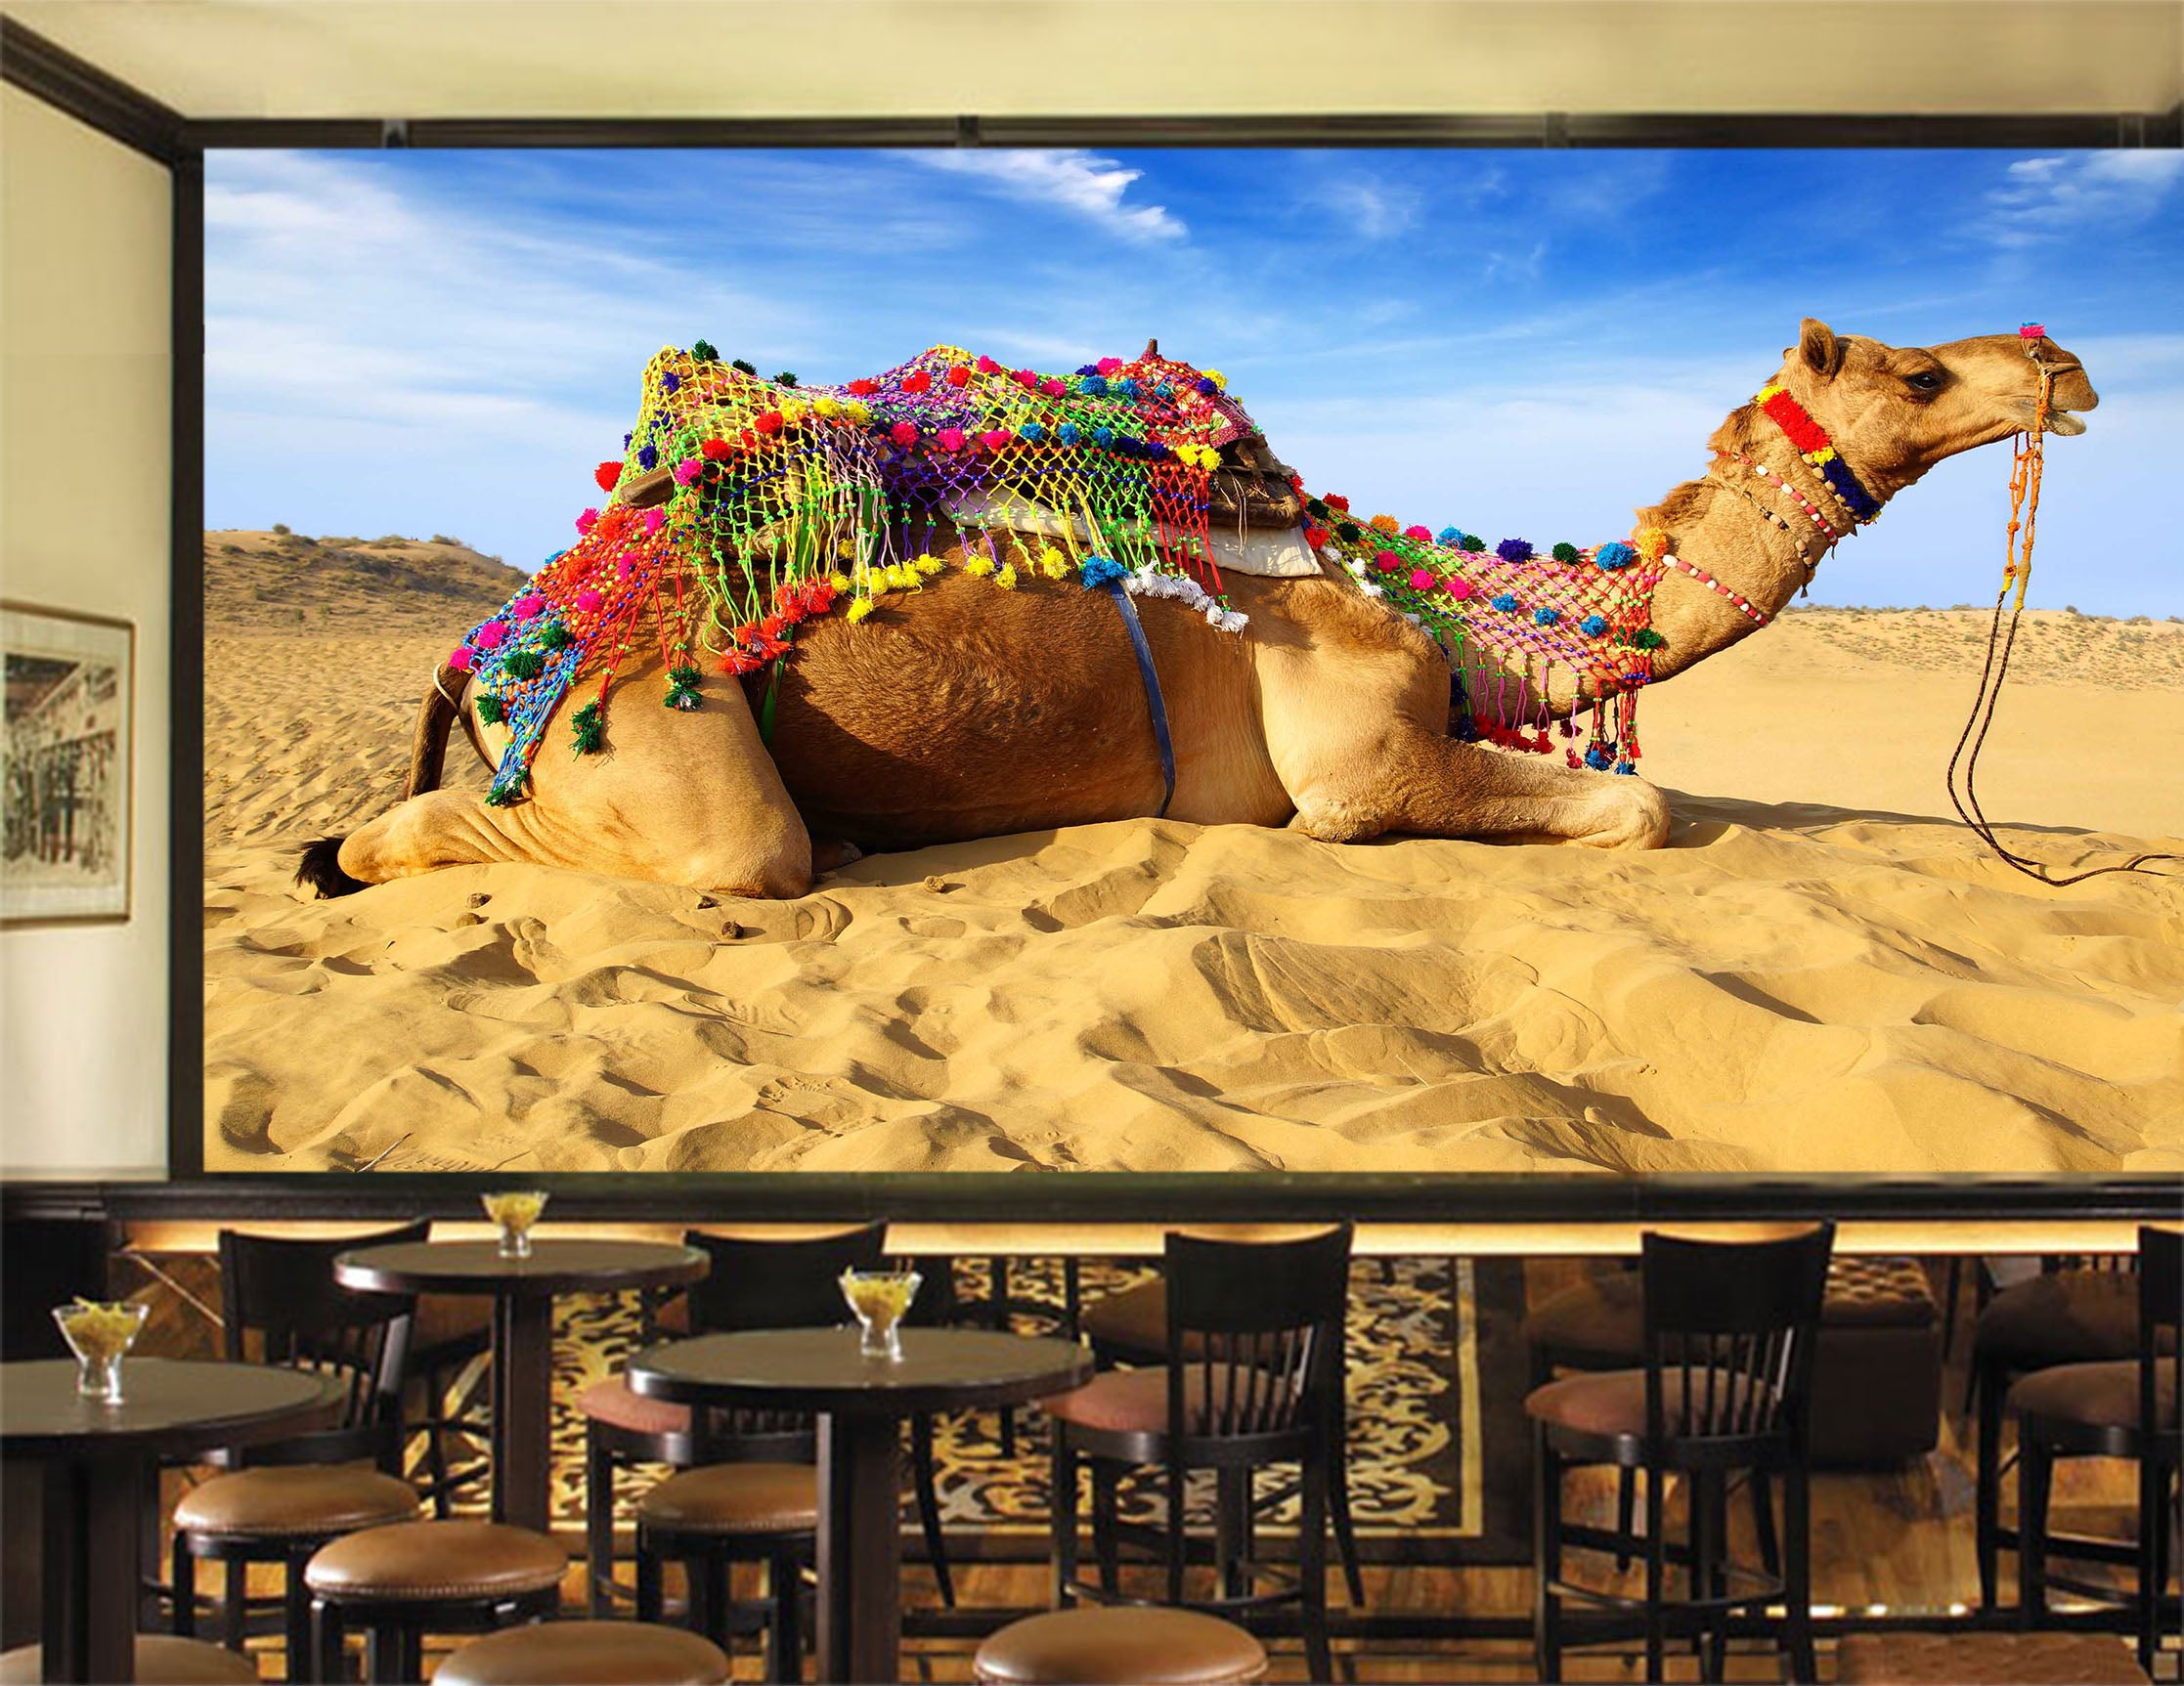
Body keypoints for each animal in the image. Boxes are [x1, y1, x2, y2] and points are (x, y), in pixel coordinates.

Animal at [298, 320, 2097, 902]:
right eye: (1913, 376)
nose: (2063, 365)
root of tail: (505, 631)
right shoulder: (1358, 761)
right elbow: (1641, 808)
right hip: (641, 716)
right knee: (649, 845)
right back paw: (354, 851)